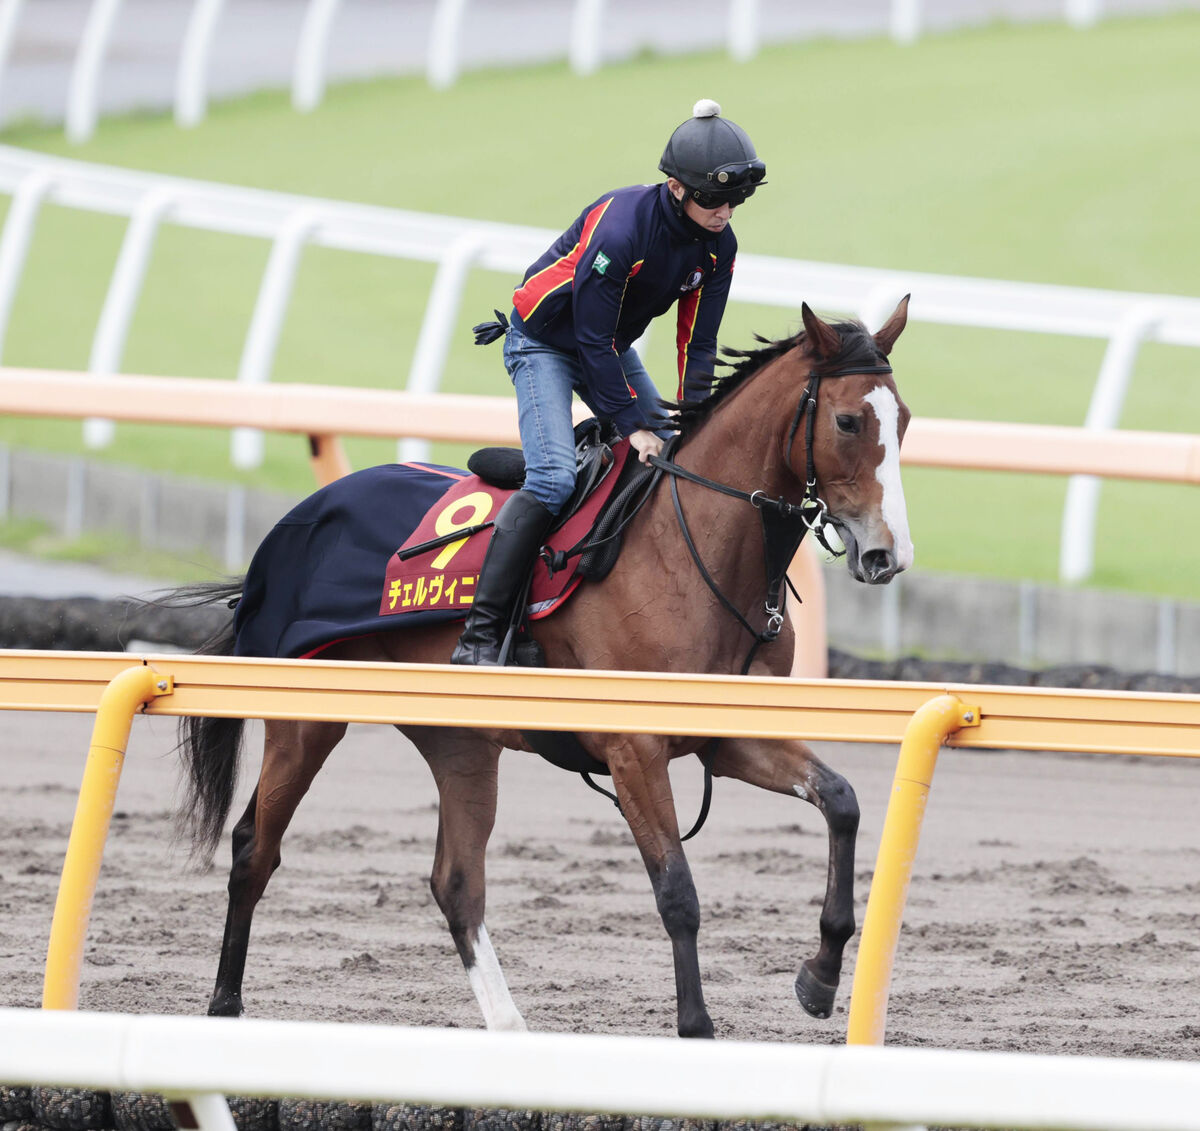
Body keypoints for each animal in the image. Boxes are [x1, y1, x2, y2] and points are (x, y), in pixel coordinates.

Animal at [174, 298, 912, 1037]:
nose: (887, 555)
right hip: (307, 716)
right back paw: (224, 1002)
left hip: (461, 742)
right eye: (848, 421)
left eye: (904, 419)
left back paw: (509, 1026)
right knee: (254, 848)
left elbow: (841, 800)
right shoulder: (633, 748)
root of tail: (292, 526)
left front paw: (819, 976)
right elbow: (677, 890)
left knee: (456, 881)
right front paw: (697, 1027)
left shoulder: (729, 736)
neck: (690, 550)